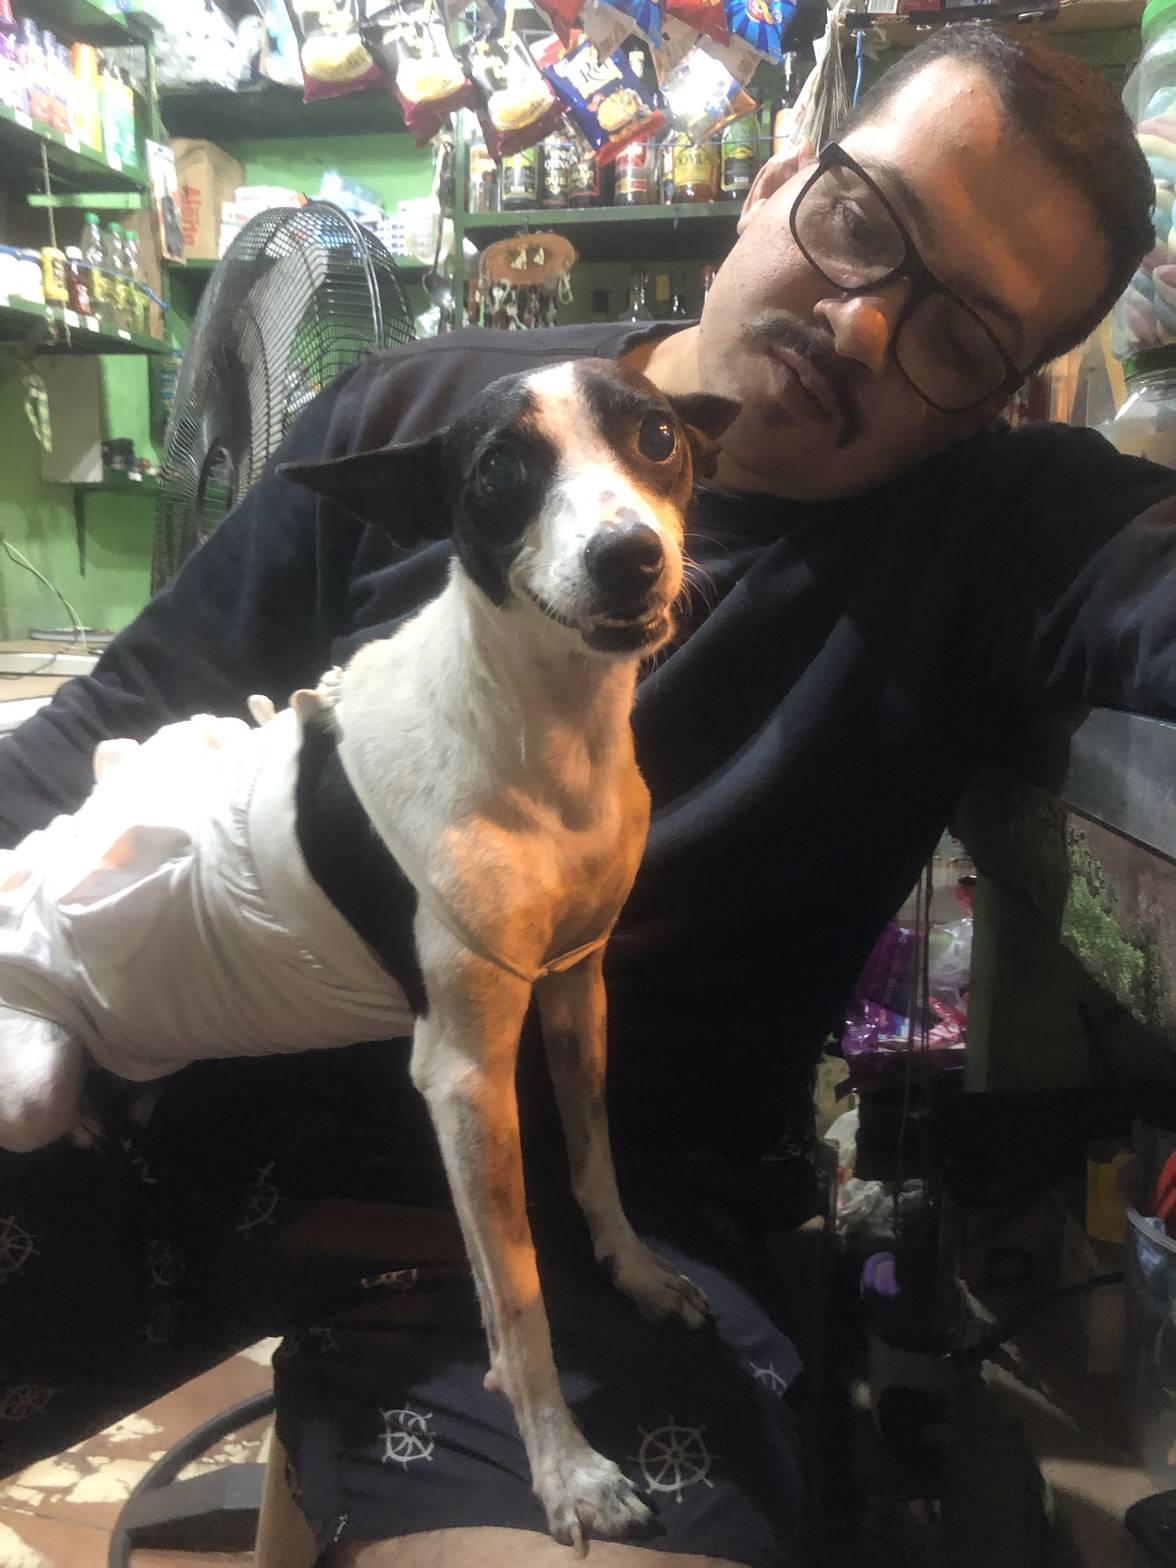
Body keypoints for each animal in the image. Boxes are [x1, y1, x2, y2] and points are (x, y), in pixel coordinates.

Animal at [0, 358, 738, 1549]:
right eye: (498, 471)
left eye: (658, 436)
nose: (629, 556)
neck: (538, 724)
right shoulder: (467, 1075)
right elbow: (519, 1297)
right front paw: (566, 1468)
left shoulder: (576, 988)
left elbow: (594, 1158)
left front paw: (630, 1265)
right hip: (28, 1076)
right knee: (52, 1100)